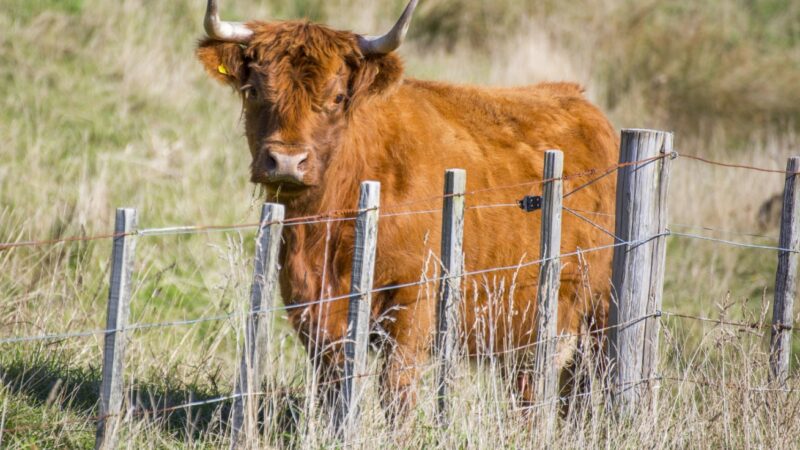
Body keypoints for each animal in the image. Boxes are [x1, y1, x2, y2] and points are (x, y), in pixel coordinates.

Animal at [197, 0, 616, 414]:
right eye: (253, 90)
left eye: (337, 98)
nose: (286, 162)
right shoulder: (310, 307)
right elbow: (334, 385)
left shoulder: (414, 302)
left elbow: (395, 388)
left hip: (598, 310)